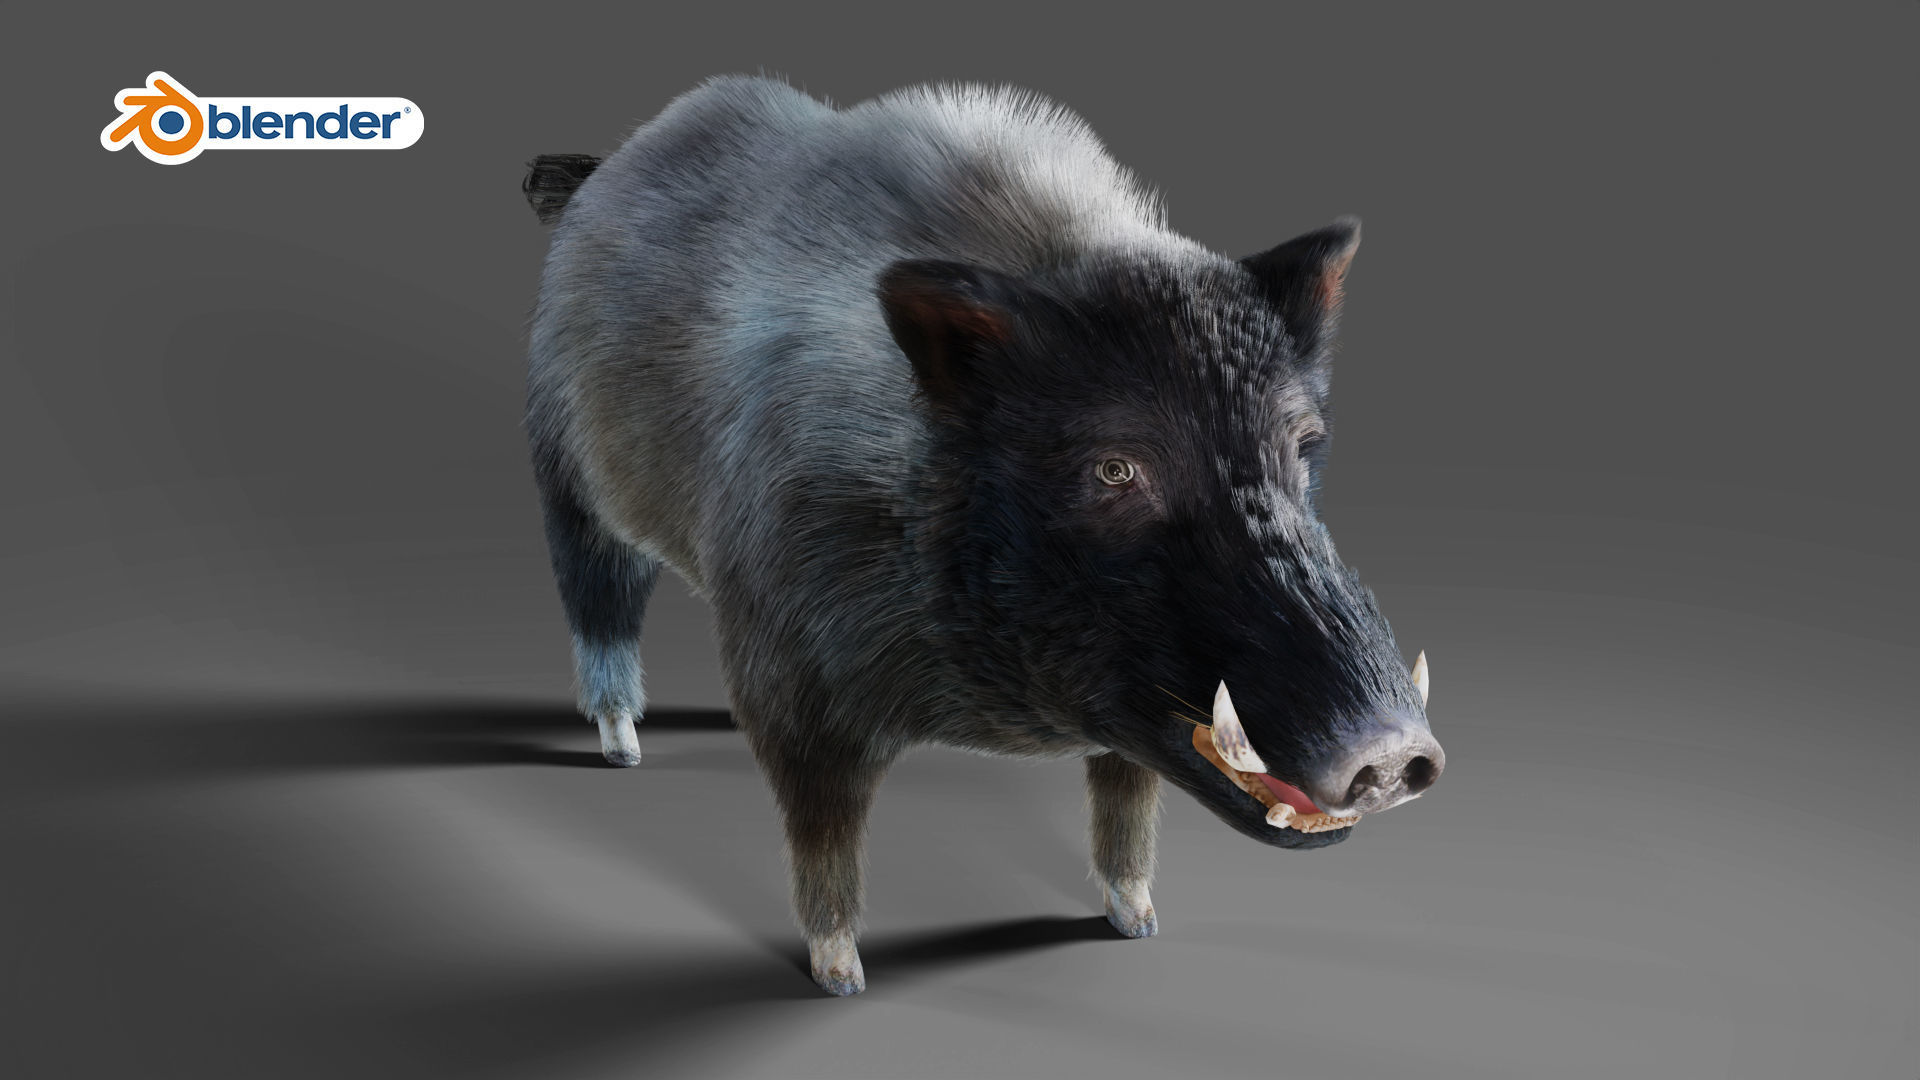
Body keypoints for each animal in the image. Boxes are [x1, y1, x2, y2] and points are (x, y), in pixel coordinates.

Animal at [522, 75, 1444, 996]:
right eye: (1117, 469)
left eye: (1301, 446)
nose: (1397, 751)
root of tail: (603, 171)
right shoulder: (795, 678)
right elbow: (822, 826)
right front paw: (841, 977)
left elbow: (1127, 795)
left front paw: (1137, 923)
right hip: (565, 481)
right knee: (595, 598)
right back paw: (623, 749)